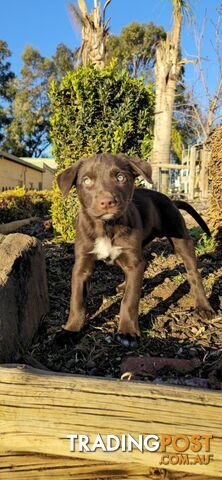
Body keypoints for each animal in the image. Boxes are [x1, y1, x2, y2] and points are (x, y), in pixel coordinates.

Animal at [57, 152, 215, 344]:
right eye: (86, 180)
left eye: (120, 177)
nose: (107, 202)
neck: (106, 227)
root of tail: (170, 200)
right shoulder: (82, 265)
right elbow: (77, 301)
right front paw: (71, 330)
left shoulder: (133, 261)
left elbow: (129, 301)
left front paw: (127, 331)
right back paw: (123, 285)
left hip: (181, 238)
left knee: (193, 273)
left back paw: (204, 306)